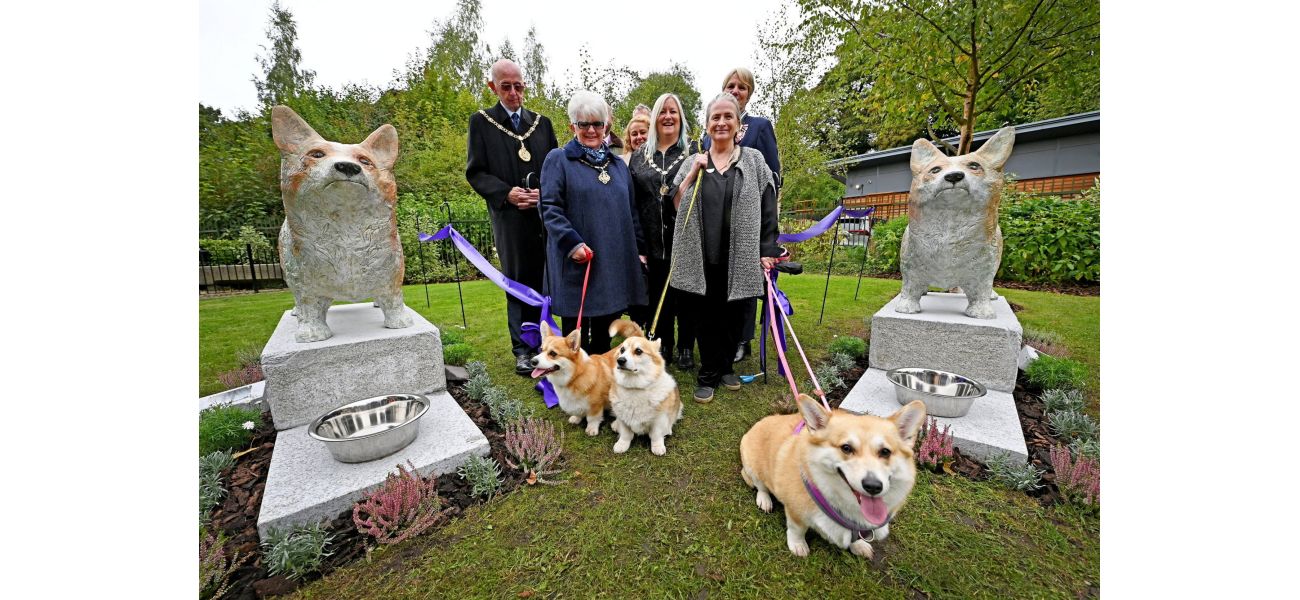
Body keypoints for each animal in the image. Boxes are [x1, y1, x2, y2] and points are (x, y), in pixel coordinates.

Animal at [273, 105, 410, 342]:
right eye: (316, 154)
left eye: (365, 161)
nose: (348, 167)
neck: (347, 228)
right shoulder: (303, 282)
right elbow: (308, 305)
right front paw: (312, 333)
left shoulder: (391, 272)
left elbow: (393, 299)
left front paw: (399, 321)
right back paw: (296, 312)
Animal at [743, 394, 925, 558]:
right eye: (846, 448)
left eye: (885, 452)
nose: (873, 486)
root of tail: (763, 420)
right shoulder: (795, 511)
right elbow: (797, 530)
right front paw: (798, 545)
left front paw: (858, 545)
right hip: (751, 465)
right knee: (761, 486)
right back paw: (764, 500)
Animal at [899, 126, 1019, 318]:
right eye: (935, 170)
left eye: (974, 166)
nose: (954, 176)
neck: (951, 222)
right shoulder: (910, 266)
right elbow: (910, 286)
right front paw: (906, 306)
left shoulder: (983, 270)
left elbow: (982, 288)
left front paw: (981, 312)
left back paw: (991, 296)